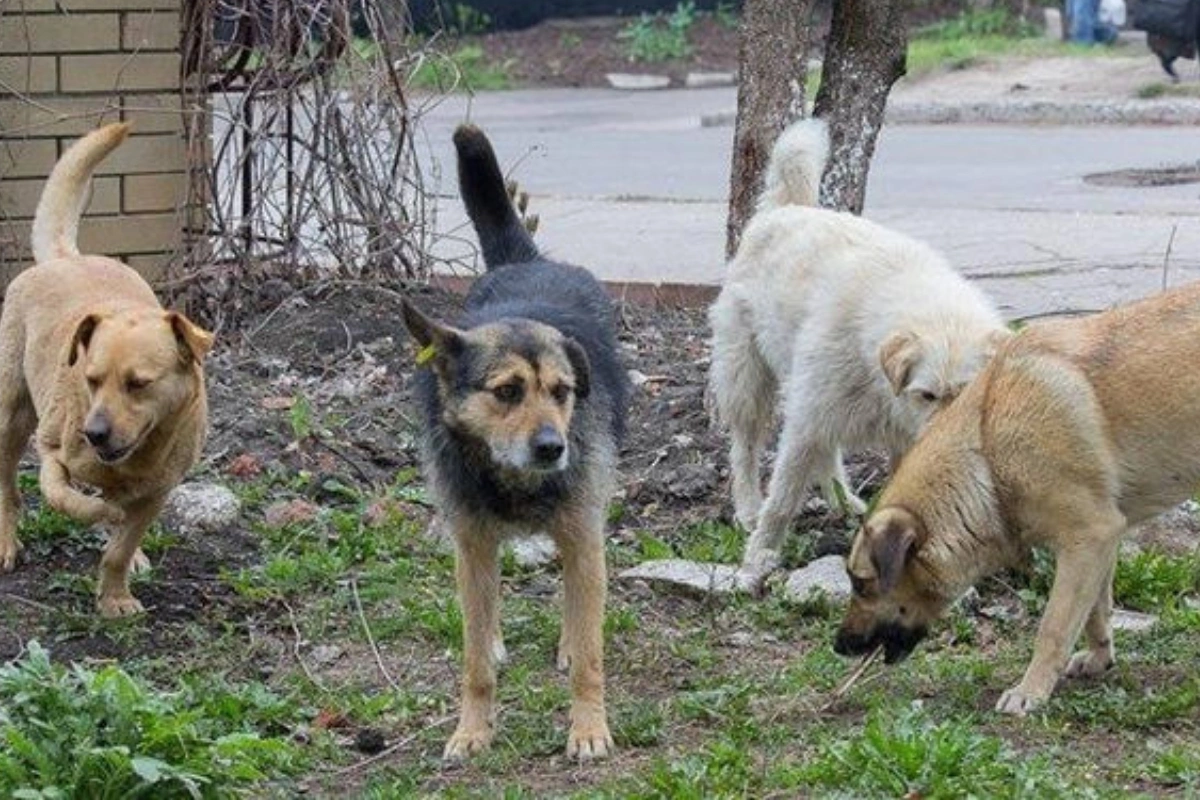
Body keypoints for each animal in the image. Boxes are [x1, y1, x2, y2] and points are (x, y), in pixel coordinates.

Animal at [0, 122, 213, 618]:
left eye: (139, 384)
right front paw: (101, 516)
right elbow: (66, 498)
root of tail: (66, 258)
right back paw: (7, 542)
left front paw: (115, 593)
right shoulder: (52, 455)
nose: (93, 434)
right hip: (10, 416)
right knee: (8, 490)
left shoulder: (157, 492)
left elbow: (121, 544)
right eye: (91, 380)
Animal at [400, 125, 628, 762]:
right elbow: (474, 658)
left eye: (562, 392)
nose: (554, 447)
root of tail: (528, 263)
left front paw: (588, 728)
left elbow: (592, 654)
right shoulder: (473, 543)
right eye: (506, 391)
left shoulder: (583, 536)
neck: (514, 479)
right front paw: (472, 729)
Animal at [705, 115, 1008, 592]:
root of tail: (785, 209)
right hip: (749, 378)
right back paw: (748, 507)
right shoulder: (806, 420)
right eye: (927, 395)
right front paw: (758, 557)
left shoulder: (900, 439)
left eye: (966, 394)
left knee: (826, 452)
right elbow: (783, 498)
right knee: (746, 446)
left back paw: (843, 501)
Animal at [835, 280, 1200, 714]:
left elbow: (1054, 627)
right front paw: (1099, 658)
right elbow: (1095, 613)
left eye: (861, 584)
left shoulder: (1088, 538)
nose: (838, 645)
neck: (987, 449)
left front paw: (1031, 690)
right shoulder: (1099, 545)